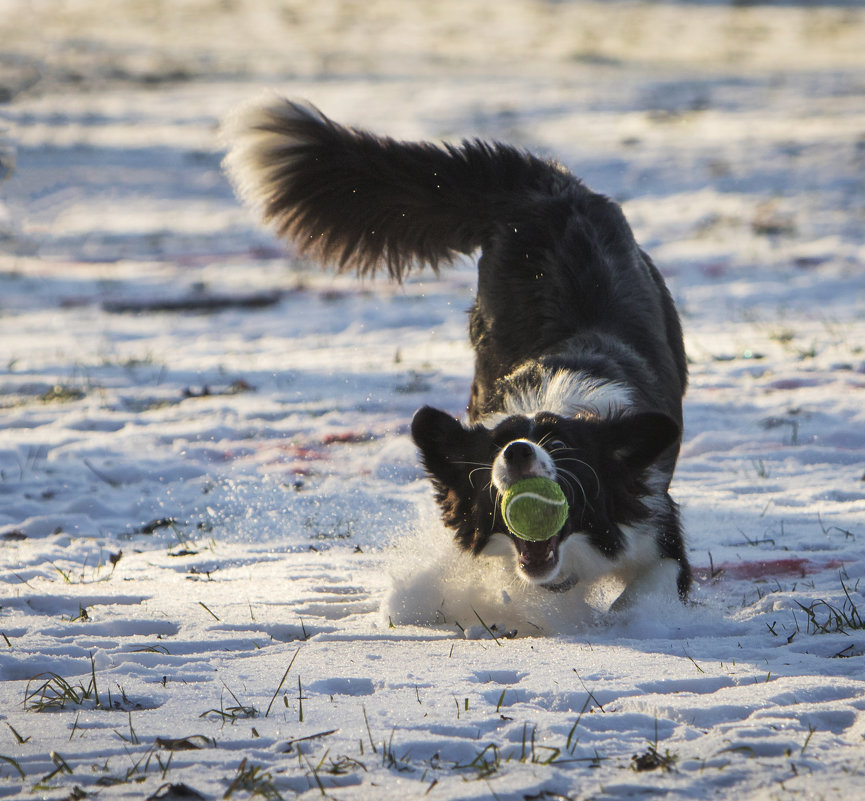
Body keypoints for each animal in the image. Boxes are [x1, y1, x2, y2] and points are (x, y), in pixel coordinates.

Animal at [226, 101, 692, 612]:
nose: (518, 452)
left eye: (560, 445)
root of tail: (551, 187)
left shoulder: (657, 527)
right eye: (498, 445)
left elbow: (641, 593)